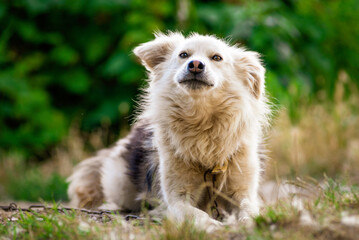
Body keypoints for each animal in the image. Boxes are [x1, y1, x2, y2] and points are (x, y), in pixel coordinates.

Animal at [67, 31, 270, 229]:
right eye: (183, 55)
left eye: (217, 57)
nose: (195, 65)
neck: (201, 123)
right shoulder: (175, 199)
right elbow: (197, 214)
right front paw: (213, 225)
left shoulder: (242, 191)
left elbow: (249, 210)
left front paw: (250, 223)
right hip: (120, 184)